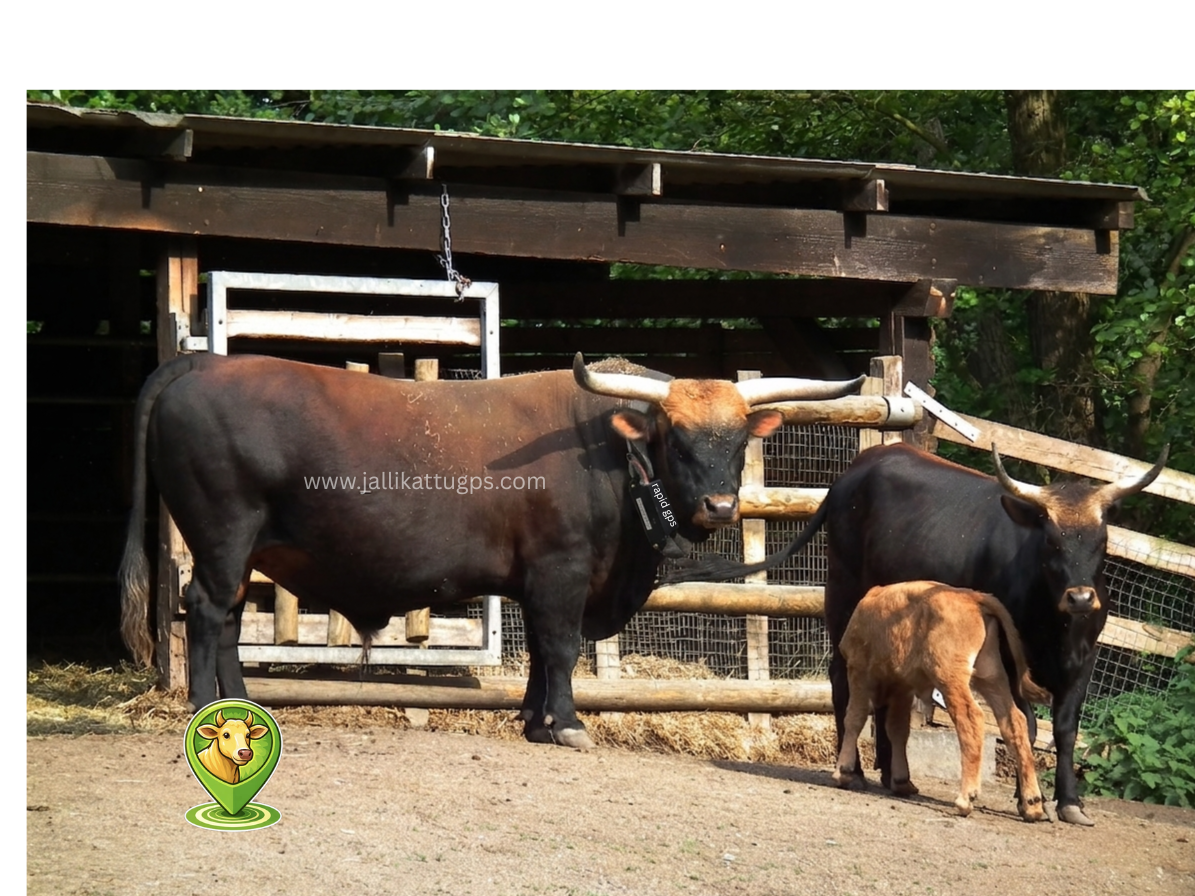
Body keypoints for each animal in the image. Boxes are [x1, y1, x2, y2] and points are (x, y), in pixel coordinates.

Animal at [120, 351, 863, 749]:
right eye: (675, 438)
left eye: (736, 443)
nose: (719, 506)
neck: (606, 451)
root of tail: (207, 361)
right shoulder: (561, 569)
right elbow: (560, 647)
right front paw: (567, 724)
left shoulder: (539, 579)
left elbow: (538, 651)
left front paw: (534, 719)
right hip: (223, 534)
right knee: (206, 611)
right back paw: (208, 709)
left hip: (240, 548)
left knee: (226, 617)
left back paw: (244, 708)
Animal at [834, 580, 1046, 822]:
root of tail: (973, 597)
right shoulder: (902, 687)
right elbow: (898, 730)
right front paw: (902, 781)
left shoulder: (858, 671)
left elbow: (854, 718)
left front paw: (843, 772)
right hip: (992, 678)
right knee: (1014, 722)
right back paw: (1032, 804)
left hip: (950, 678)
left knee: (971, 718)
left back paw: (966, 798)